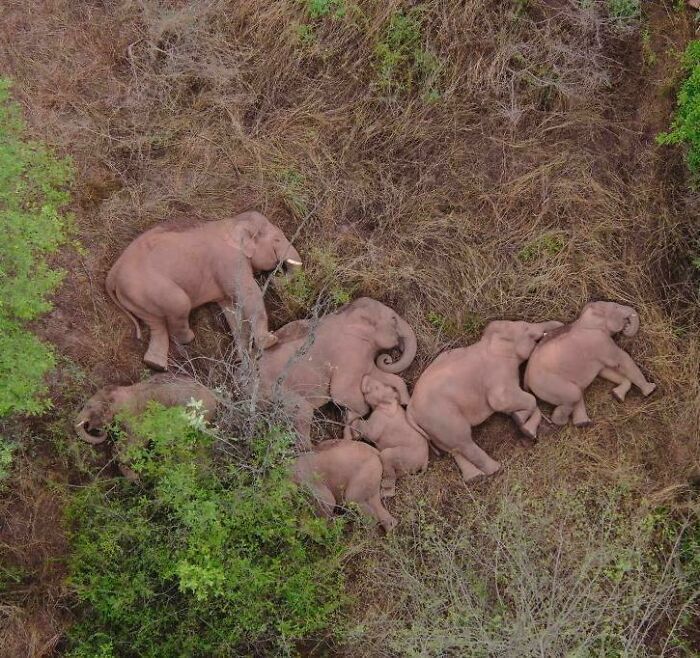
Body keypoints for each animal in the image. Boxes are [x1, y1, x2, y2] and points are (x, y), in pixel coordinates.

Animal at [75, 374, 217, 479]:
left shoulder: (136, 418)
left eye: (89, 406)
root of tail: (215, 399)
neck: (123, 390)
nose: (96, 430)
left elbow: (137, 441)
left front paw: (134, 477)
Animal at [106, 211, 302, 371]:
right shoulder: (229, 260)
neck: (232, 222)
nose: (275, 277)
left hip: (137, 297)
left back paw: (155, 365)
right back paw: (187, 339)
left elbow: (231, 309)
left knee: (156, 324)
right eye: (277, 240)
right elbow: (248, 293)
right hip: (149, 287)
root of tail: (112, 274)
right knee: (179, 304)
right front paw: (270, 341)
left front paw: (243, 359)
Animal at [259, 297, 417, 449]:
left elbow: (376, 374)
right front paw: (352, 429)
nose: (387, 359)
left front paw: (404, 401)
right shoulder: (348, 352)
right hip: (278, 391)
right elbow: (341, 393)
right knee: (302, 412)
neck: (345, 315)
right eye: (394, 319)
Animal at [407, 319, 563, 482]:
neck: (488, 342)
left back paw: (474, 477)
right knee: (464, 441)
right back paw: (495, 469)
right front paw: (521, 421)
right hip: (442, 418)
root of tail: (410, 410)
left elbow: (513, 406)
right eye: (525, 327)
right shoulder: (498, 373)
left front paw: (524, 427)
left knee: (453, 448)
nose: (560, 325)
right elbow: (504, 401)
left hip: (433, 427)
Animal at [524, 301, 656, 428]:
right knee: (574, 394)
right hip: (549, 385)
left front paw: (617, 395)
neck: (584, 319)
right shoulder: (601, 341)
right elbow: (623, 360)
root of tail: (526, 380)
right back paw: (562, 422)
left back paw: (583, 423)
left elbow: (605, 371)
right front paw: (651, 390)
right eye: (616, 307)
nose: (626, 328)